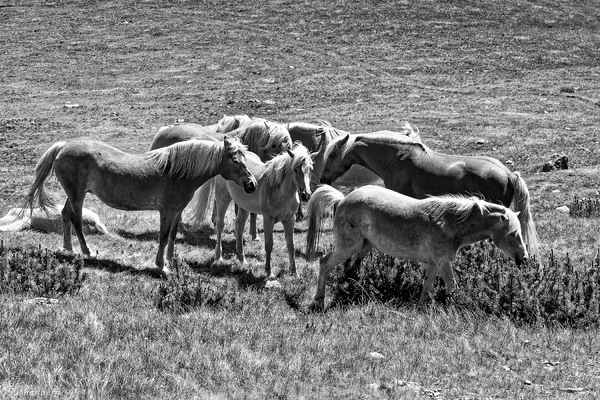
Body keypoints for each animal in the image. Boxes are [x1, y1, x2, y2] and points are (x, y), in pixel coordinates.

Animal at [25, 138, 256, 276]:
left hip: (74, 195)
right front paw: (161, 266)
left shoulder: (176, 212)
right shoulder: (166, 211)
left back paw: (69, 248)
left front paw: (171, 260)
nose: (251, 184)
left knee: (65, 215)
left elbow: (172, 236)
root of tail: (64, 146)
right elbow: (163, 237)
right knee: (76, 220)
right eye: (236, 160)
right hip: (77, 196)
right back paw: (86, 251)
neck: (177, 172)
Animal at [211, 143, 314, 278]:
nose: (306, 195)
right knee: (220, 225)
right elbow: (269, 245)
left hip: (244, 207)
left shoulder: (289, 220)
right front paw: (269, 272)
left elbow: (291, 245)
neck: (280, 191)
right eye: (295, 169)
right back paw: (218, 256)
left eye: (310, 169)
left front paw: (294, 272)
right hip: (222, 199)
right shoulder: (268, 220)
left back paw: (242, 259)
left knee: (238, 227)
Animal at [308, 184, 528, 310]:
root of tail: (342, 200)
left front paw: (420, 309)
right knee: (324, 263)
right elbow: (453, 286)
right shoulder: (443, 262)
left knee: (350, 268)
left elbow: (426, 286)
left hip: (363, 247)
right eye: (513, 234)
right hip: (349, 246)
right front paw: (460, 307)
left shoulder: (434, 263)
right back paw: (319, 300)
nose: (524, 258)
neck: (451, 223)